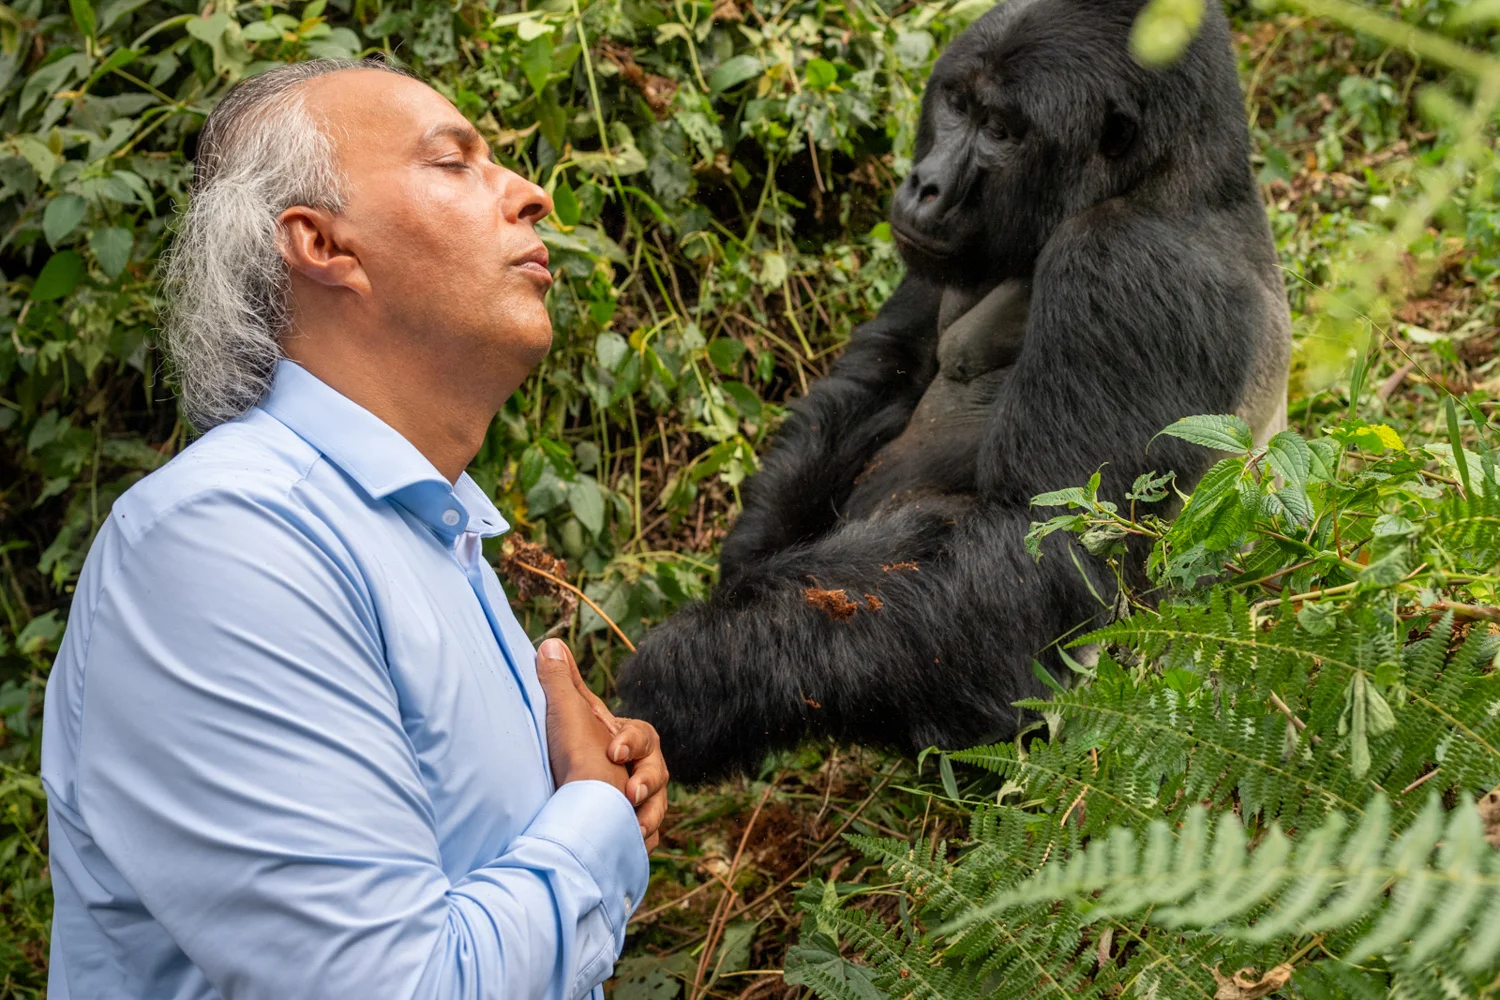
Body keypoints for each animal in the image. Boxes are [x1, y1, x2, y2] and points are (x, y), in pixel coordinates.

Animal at [612, 0, 1290, 785]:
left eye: (1001, 131)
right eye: (958, 105)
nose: (924, 184)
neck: (1171, 173)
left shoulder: (1130, 268)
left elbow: (1037, 549)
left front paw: (698, 673)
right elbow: (887, 368)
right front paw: (751, 553)